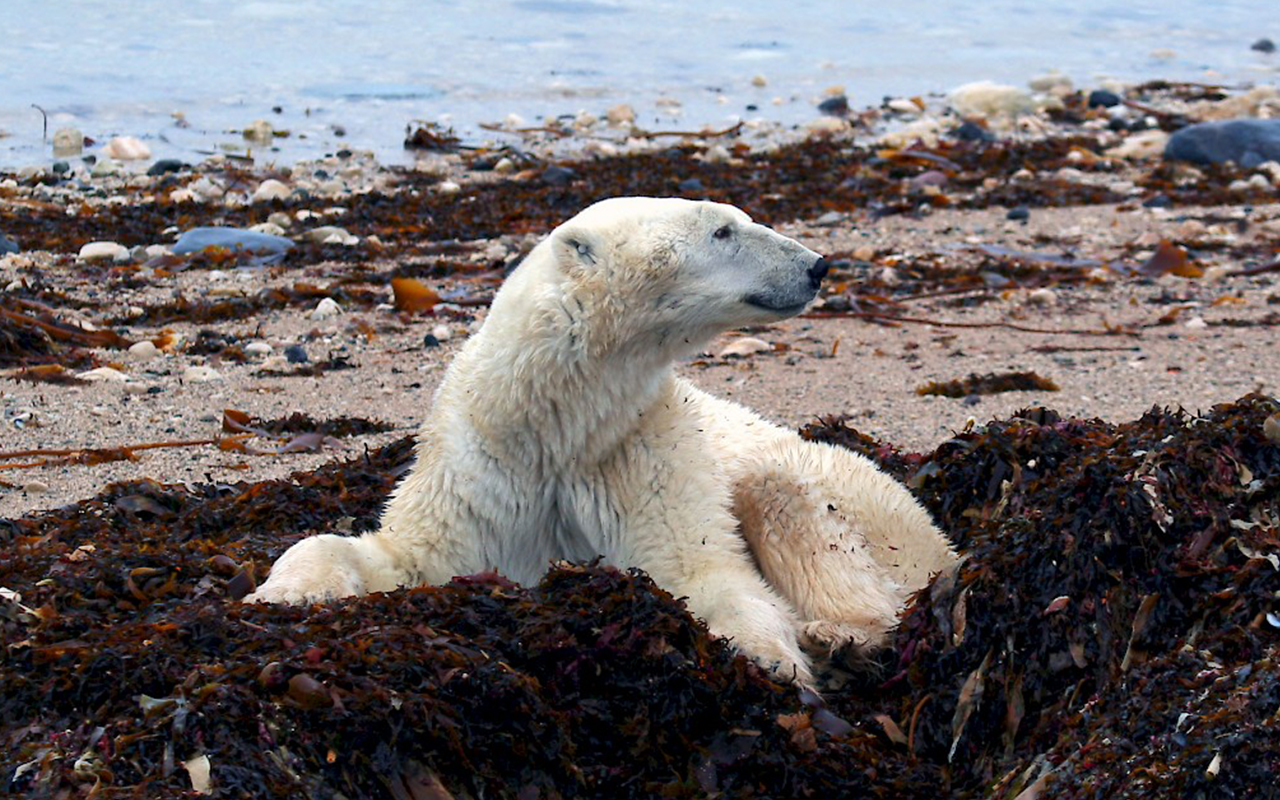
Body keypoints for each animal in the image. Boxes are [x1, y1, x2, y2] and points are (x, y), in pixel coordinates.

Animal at [244, 197, 957, 680]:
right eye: (723, 230)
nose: (816, 265)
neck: (559, 427)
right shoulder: (483, 468)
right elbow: (408, 553)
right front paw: (280, 591)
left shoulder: (645, 452)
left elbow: (702, 569)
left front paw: (767, 655)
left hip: (883, 519)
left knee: (791, 500)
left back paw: (837, 633)